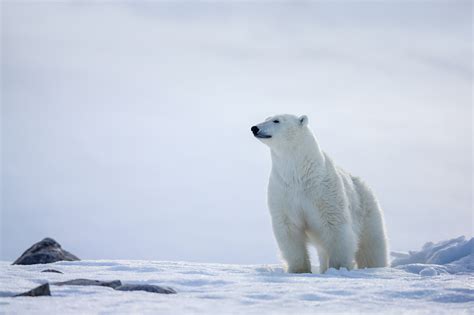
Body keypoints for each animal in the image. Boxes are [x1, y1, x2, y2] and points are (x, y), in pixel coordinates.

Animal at [250, 114, 386, 274]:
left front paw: (337, 267)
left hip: (367, 212)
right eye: (266, 118)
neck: (300, 173)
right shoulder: (283, 190)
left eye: (276, 120)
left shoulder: (323, 191)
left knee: (372, 247)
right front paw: (299, 270)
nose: (254, 128)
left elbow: (335, 227)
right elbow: (289, 230)